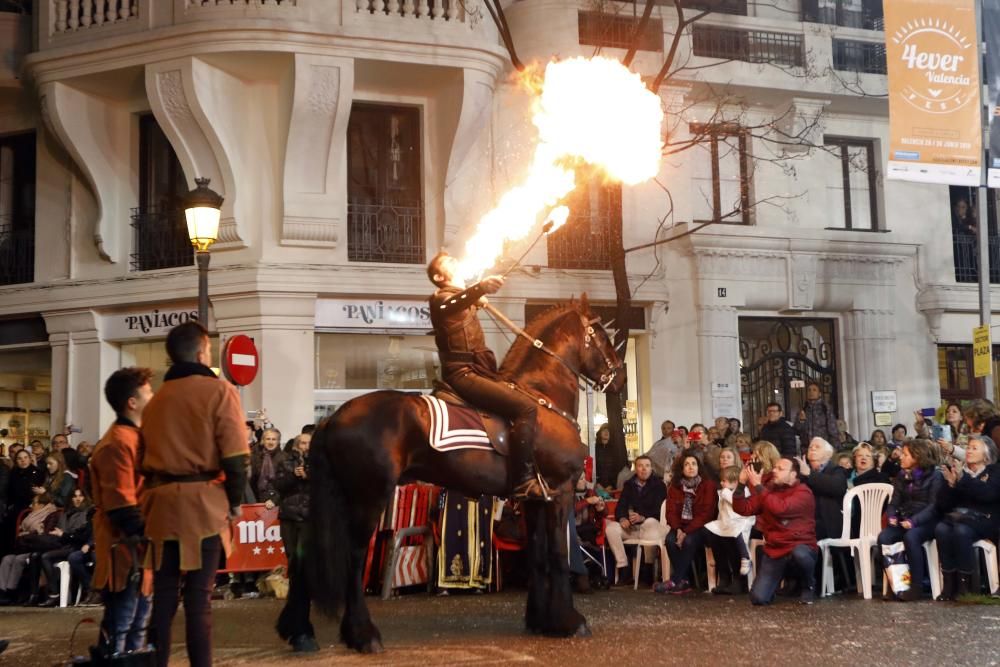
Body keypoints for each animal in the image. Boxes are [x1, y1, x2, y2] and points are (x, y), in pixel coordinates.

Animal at [280, 294, 624, 656]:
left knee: (305, 559)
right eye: (602, 333)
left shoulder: (534, 501)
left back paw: (300, 632)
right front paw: (569, 621)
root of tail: (333, 418)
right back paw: (362, 634)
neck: (541, 399)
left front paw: (541, 620)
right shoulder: (560, 492)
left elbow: (538, 556)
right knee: (354, 556)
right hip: (367, 498)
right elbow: (558, 554)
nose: (621, 379)